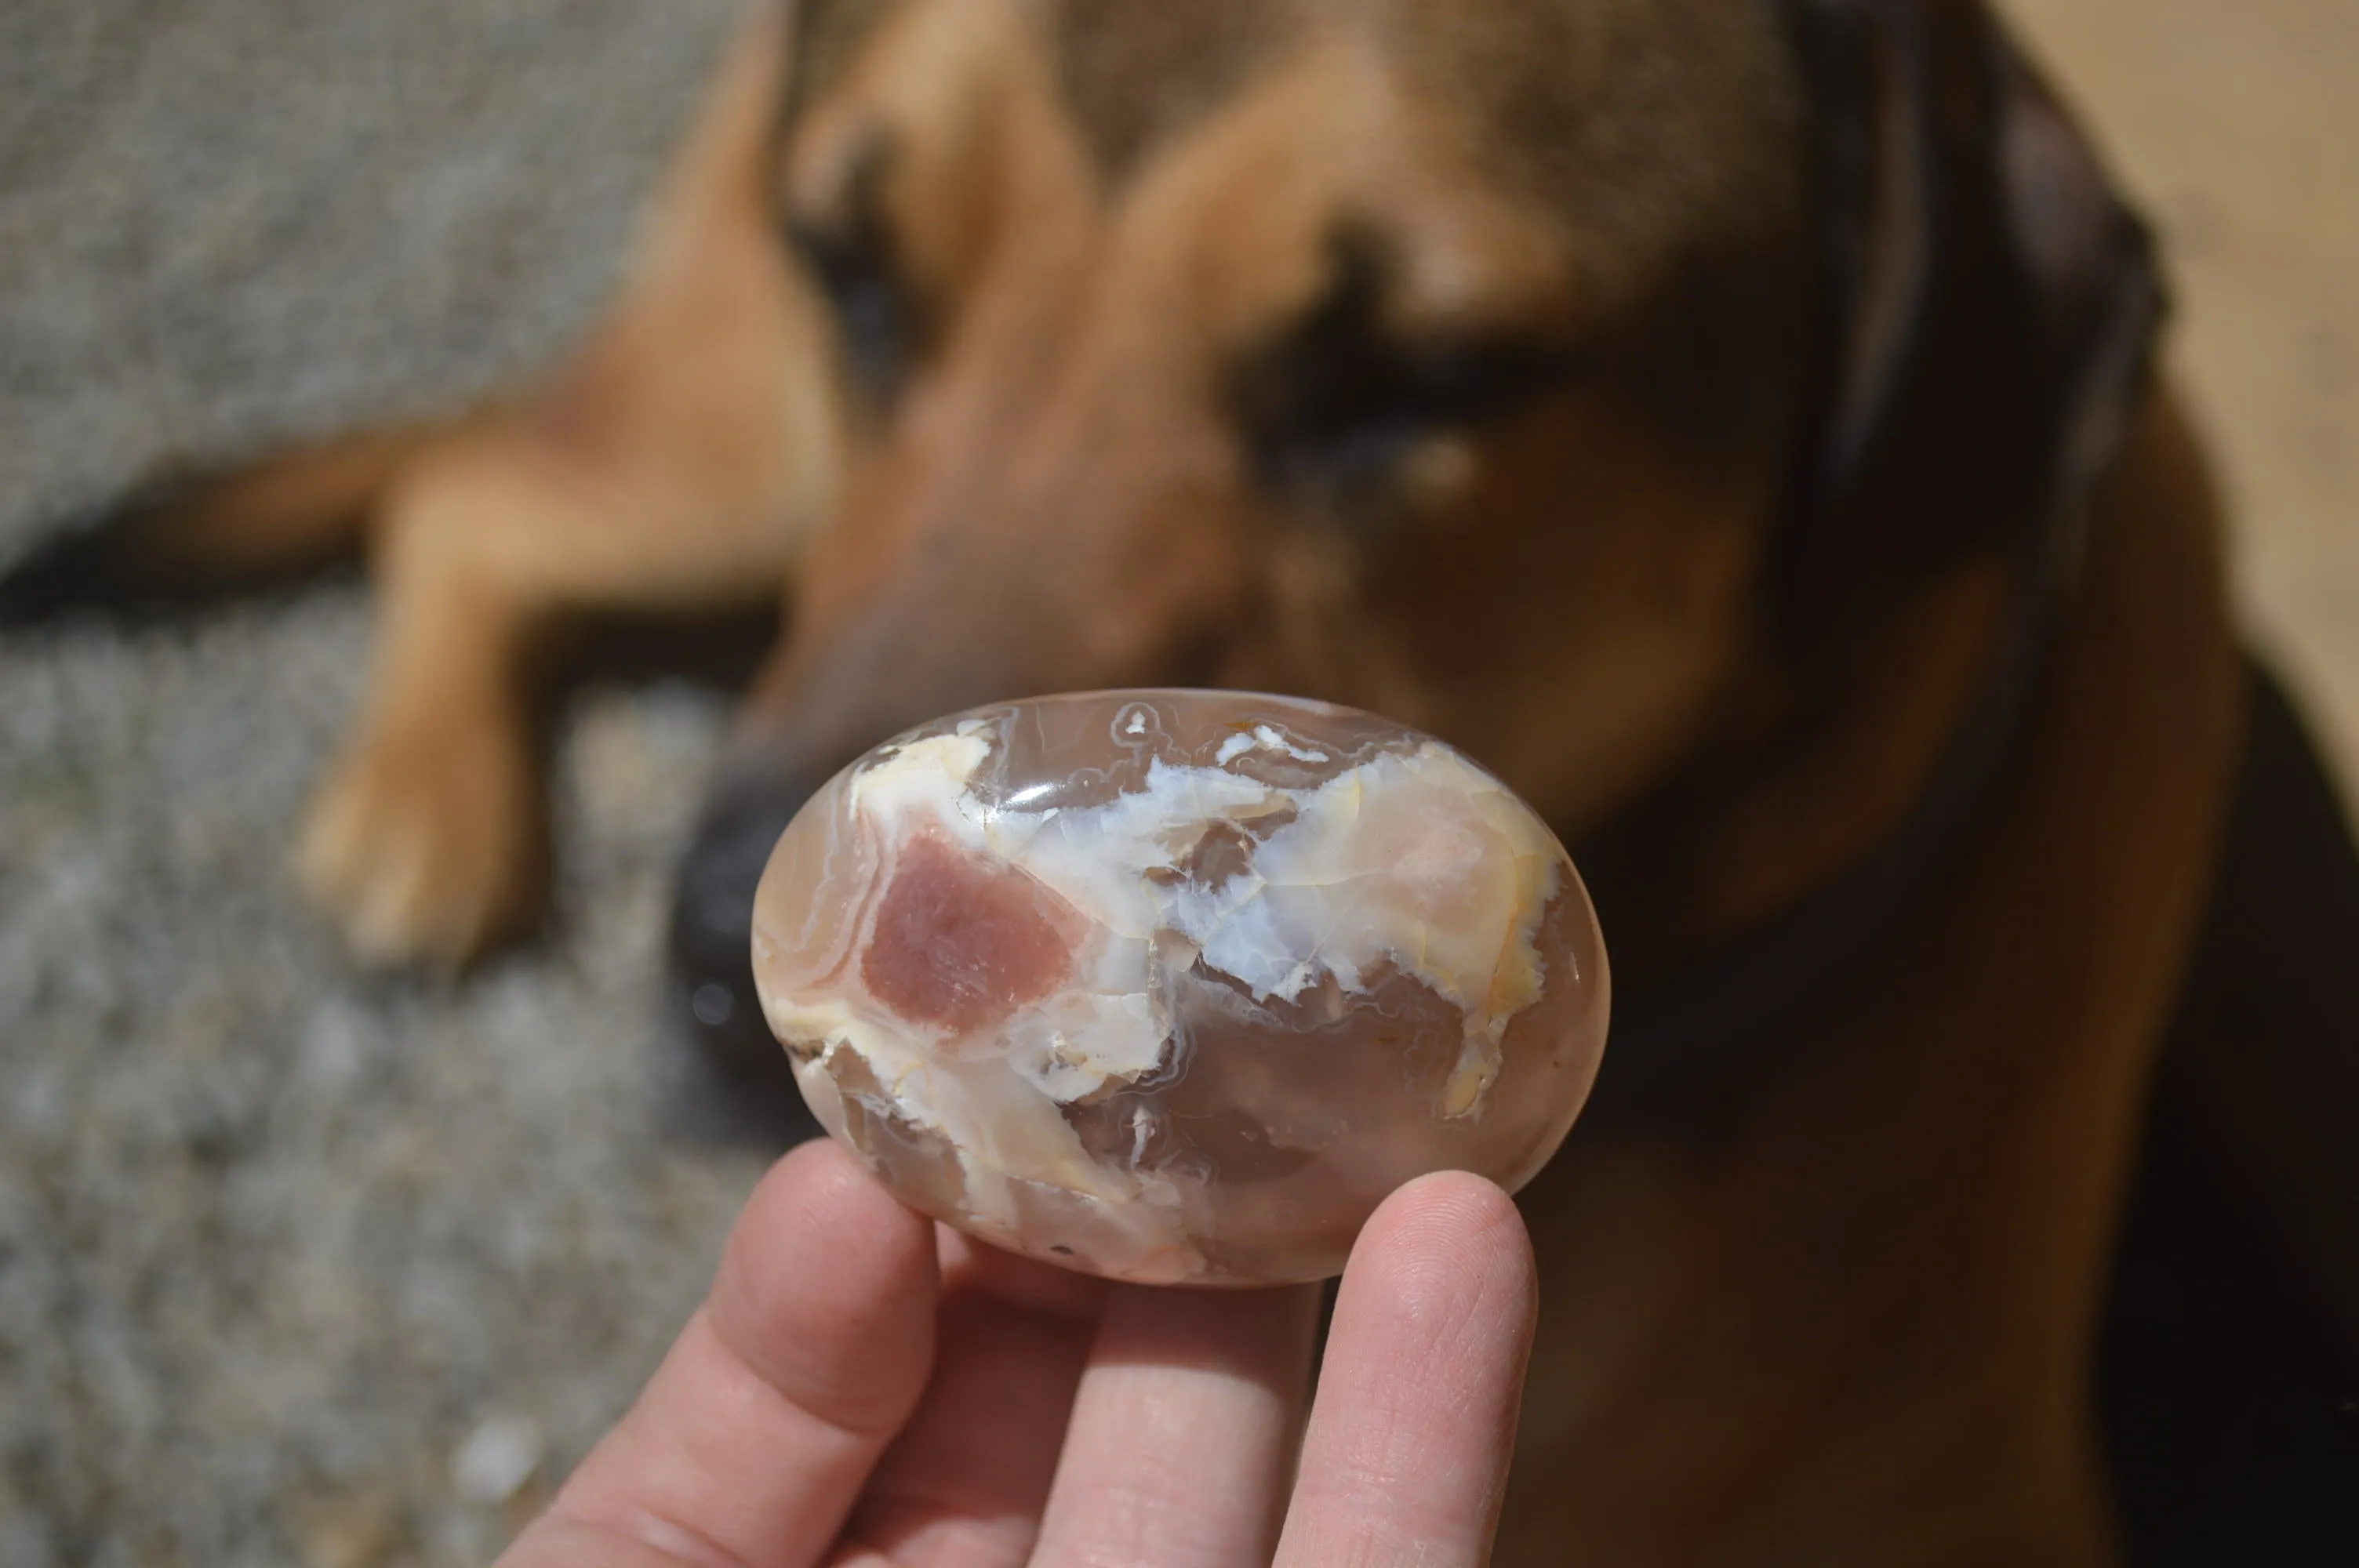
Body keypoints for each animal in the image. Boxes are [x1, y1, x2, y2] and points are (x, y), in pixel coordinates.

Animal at [18, 0, 2359, 1555]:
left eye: (1423, 376)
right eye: (854, 269)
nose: (705, 969)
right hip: (726, 443)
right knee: (483, 496)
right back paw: (417, 814)